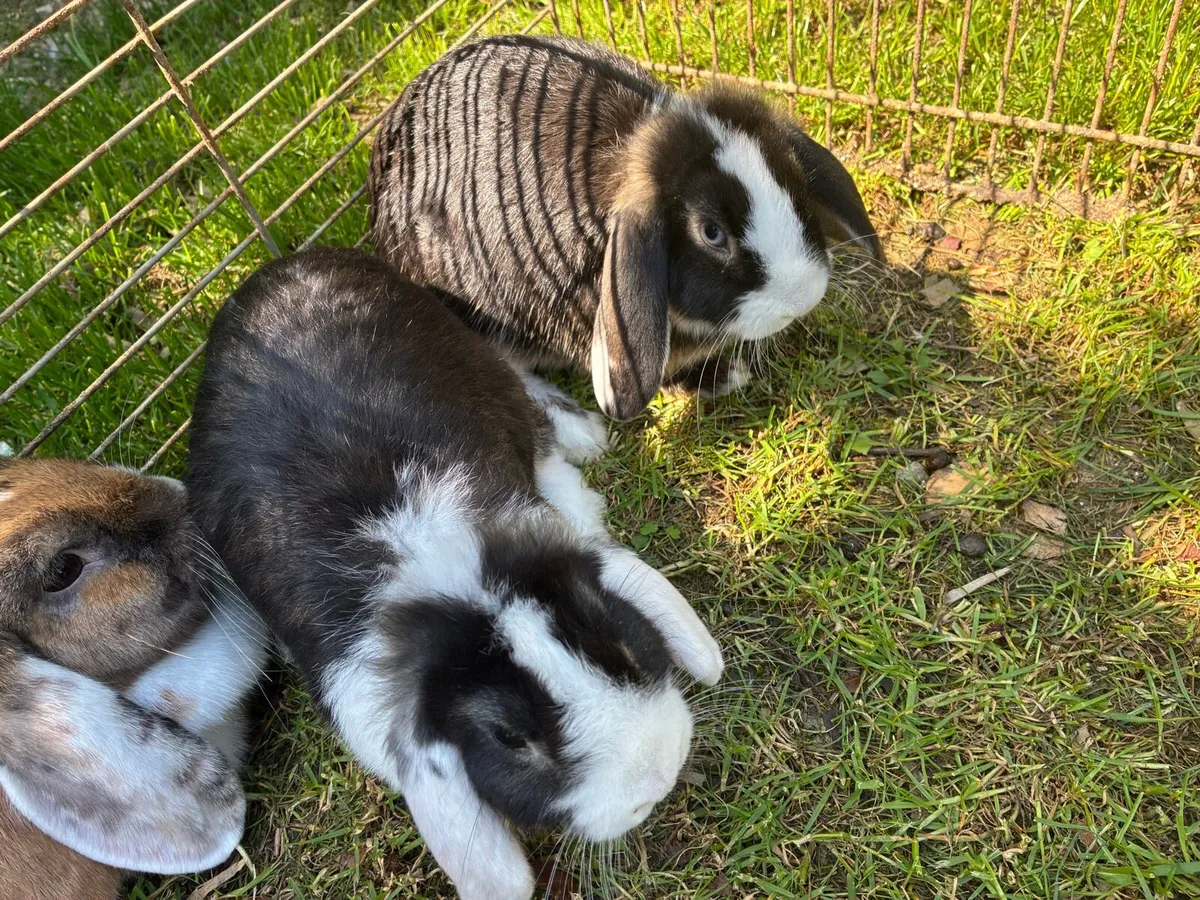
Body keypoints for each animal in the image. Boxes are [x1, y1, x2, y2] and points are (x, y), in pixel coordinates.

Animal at [186, 248, 723, 900]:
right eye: (508, 738)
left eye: (620, 641)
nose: (660, 771)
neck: (427, 557)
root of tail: (276, 268)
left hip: (479, 364)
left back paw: (584, 436)